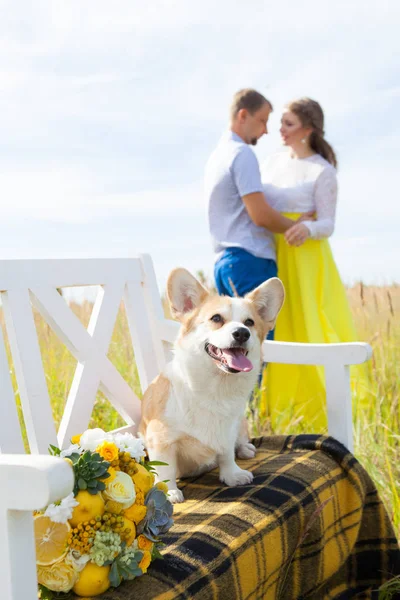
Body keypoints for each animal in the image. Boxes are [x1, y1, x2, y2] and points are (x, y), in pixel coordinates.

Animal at [138, 268, 284, 502]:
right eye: (216, 318)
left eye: (250, 322)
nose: (242, 333)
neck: (216, 387)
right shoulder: (160, 439)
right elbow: (166, 469)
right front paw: (169, 492)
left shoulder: (227, 431)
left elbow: (226, 454)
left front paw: (232, 475)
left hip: (241, 423)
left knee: (240, 441)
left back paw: (245, 449)